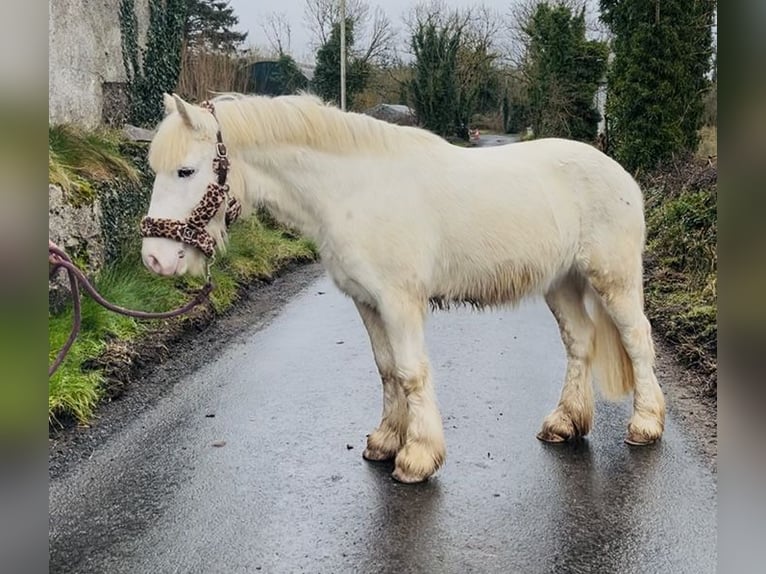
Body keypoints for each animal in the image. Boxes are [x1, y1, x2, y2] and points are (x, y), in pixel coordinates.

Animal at [140, 92, 666, 484]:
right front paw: (386, 441)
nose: (154, 258)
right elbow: (387, 369)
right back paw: (565, 423)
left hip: (614, 279)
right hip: (562, 282)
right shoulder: (368, 302)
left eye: (185, 170)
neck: (351, 189)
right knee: (580, 342)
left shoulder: (400, 302)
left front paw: (417, 457)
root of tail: (620, 173)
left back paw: (645, 424)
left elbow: (411, 372)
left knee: (637, 341)